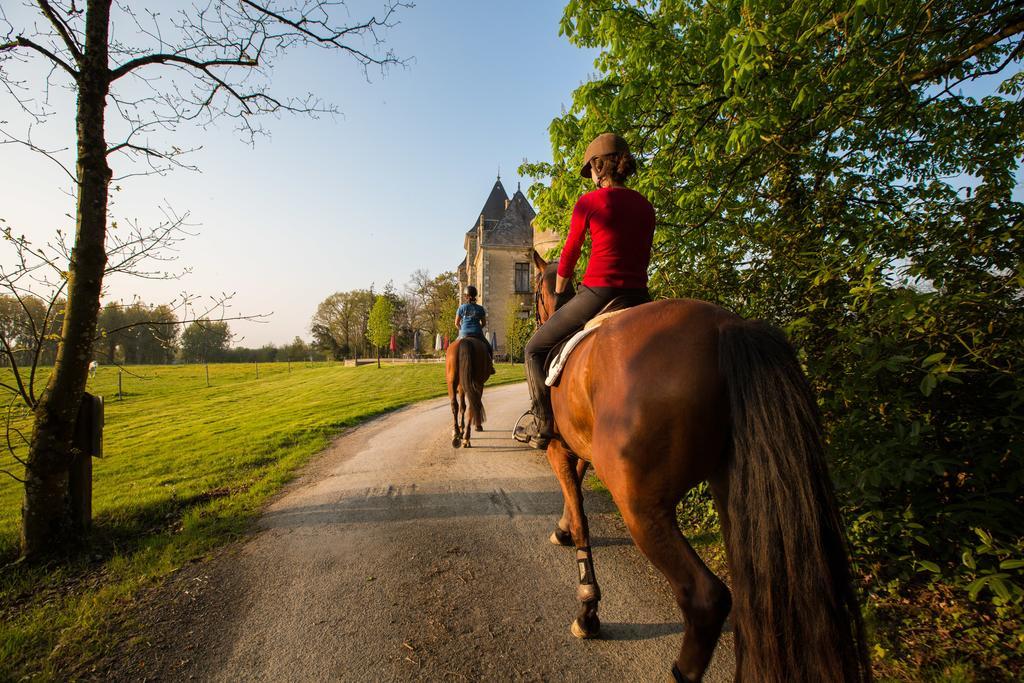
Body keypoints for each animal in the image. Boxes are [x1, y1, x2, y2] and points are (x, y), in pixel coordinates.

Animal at [528, 252, 872, 683]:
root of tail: (727, 326)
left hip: (640, 504)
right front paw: (562, 530)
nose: (533, 315)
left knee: (707, 598)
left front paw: (588, 610)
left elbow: (580, 518)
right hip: (736, 494)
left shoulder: (559, 447)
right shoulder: (577, 446)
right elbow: (574, 498)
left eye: (533, 285)